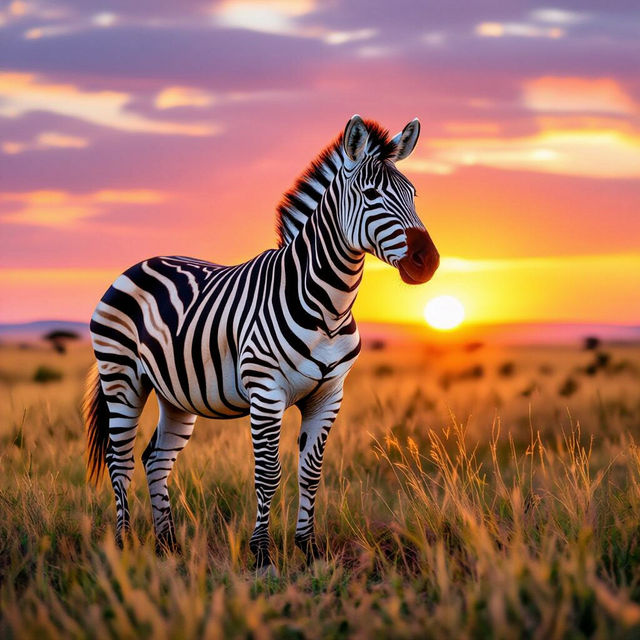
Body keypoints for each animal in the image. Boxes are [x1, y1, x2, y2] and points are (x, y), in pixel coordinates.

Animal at [83, 115, 439, 572]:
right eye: (371, 194)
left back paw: (168, 547)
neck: (328, 305)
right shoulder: (266, 392)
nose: (428, 262)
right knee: (121, 460)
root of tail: (138, 264)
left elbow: (311, 473)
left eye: (413, 195)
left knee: (155, 460)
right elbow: (268, 474)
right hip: (121, 377)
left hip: (175, 395)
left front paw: (309, 549)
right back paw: (124, 544)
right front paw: (262, 556)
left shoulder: (329, 395)